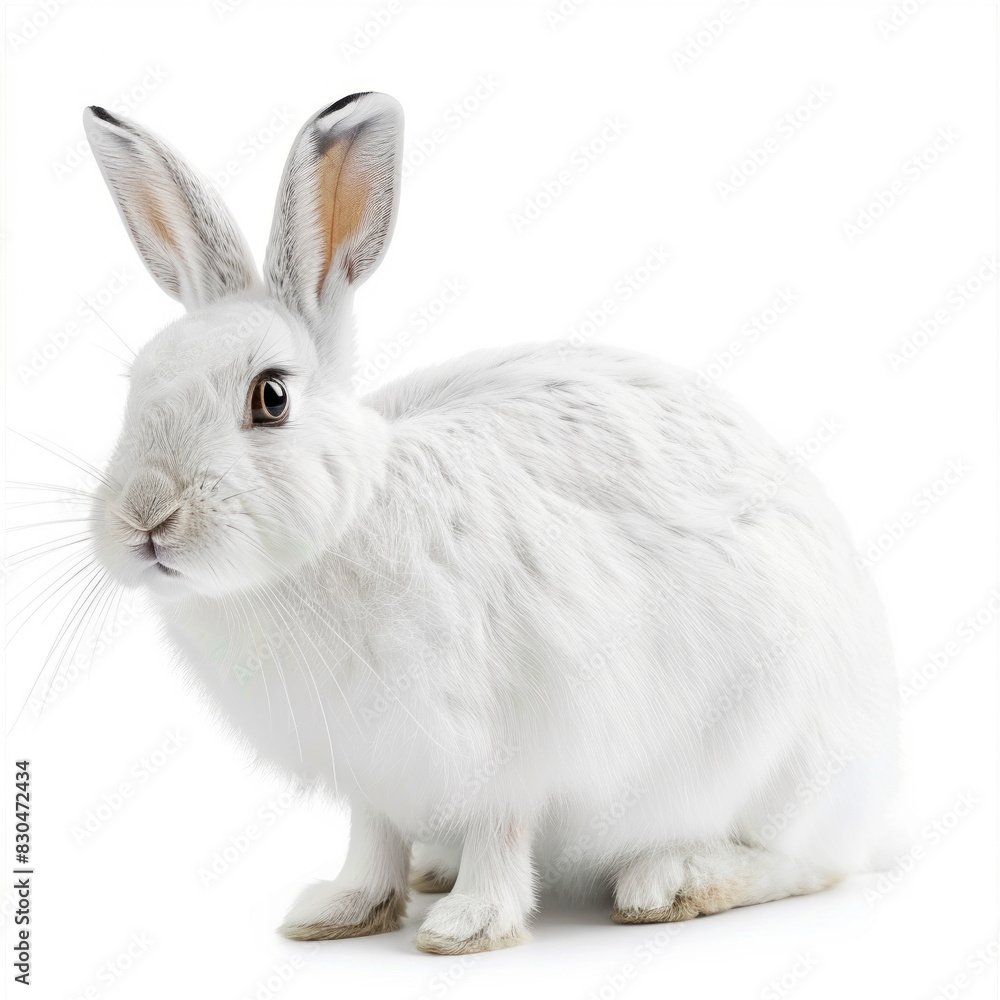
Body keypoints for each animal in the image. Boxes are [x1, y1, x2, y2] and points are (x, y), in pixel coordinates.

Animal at [84, 94, 900, 952]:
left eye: (270, 397)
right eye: (135, 385)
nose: (146, 517)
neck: (341, 530)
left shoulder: (513, 745)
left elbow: (500, 834)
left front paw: (468, 928)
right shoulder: (374, 773)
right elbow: (372, 840)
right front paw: (340, 910)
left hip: (779, 756)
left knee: (806, 863)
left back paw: (671, 881)